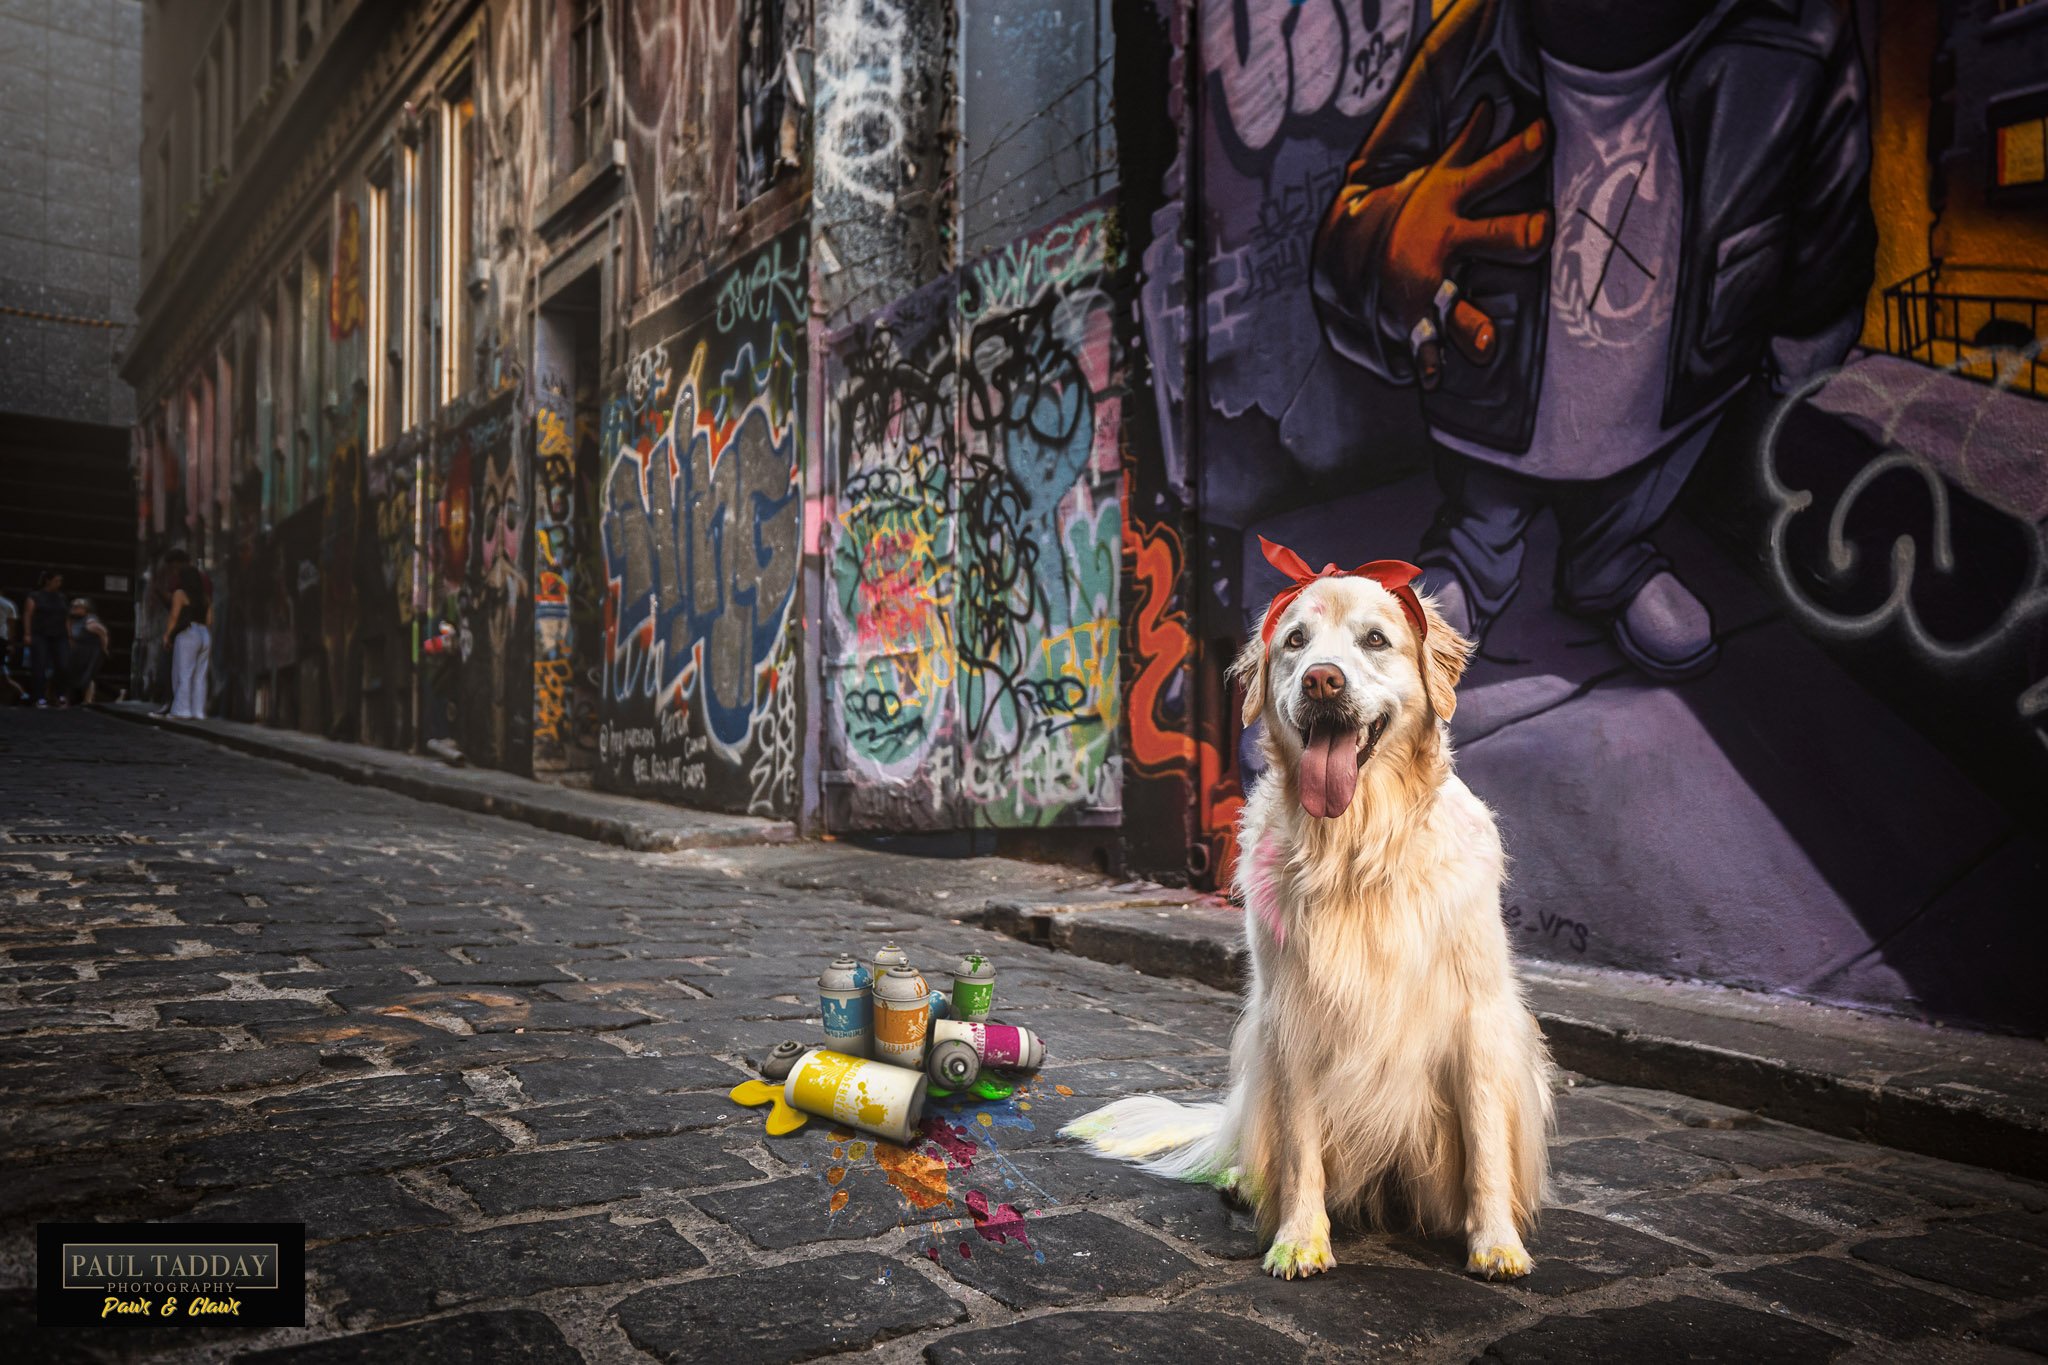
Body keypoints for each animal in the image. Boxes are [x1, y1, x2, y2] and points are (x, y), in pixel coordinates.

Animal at [1073, 540, 1548, 1285]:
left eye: (1375, 640)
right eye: (1295, 641)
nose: (1323, 680)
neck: (1358, 850)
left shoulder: (1479, 1018)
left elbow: (1485, 1143)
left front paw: (1496, 1241)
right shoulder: (1291, 1012)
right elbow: (1300, 1147)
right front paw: (1299, 1239)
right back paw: (1242, 1178)